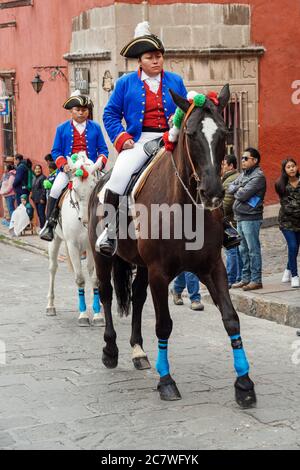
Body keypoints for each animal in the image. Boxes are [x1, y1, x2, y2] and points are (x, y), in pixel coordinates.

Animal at [45, 151, 104, 326]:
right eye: (75, 189)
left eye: (93, 187)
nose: (85, 219)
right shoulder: (72, 245)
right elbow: (80, 279)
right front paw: (83, 315)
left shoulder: (92, 246)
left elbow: (95, 278)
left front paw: (98, 315)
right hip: (55, 241)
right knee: (53, 268)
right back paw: (50, 306)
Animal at [88, 86, 256, 410]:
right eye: (190, 133)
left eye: (225, 132)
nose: (213, 192)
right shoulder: (160, 273)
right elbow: (164, 325)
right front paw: (166, 381)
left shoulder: (212, 268)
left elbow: (231, 320)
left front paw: (244, 384)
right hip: (103, 258)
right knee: (105, 294)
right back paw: (110, 350)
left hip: (141, 265)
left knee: (137, 297)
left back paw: (138, 351)